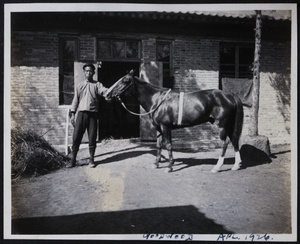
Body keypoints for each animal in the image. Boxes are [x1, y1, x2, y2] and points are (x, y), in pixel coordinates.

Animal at [105, 70, 244, 173]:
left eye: (125, 81)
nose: (107, 94)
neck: (157, 100)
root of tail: (230, 95)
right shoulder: (159, 128)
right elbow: (159, 145)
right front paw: (156, 164)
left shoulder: (165, 127)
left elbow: (168, 145)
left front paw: (169, 167)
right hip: (229, 125)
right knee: (234, 140)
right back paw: (236, 165)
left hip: (222, 125)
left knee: (225, 142)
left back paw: (217, 167)